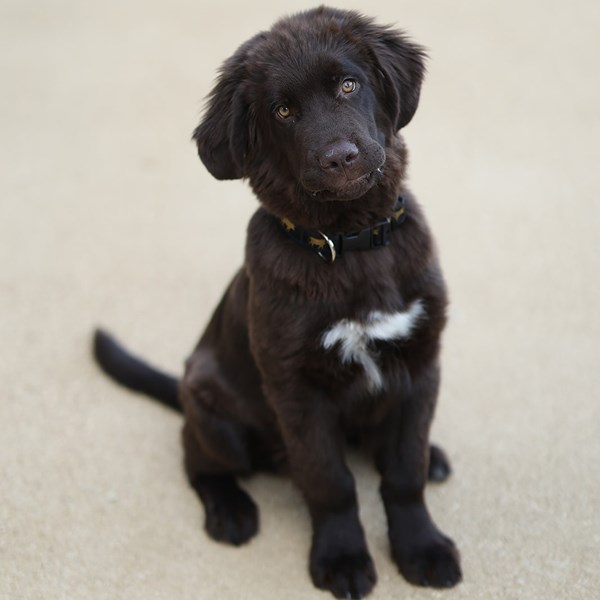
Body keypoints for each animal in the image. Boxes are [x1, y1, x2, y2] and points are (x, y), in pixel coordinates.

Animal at [94, 7, 462, 598]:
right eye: (283, 111)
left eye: (348, 85)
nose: (340, 158)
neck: (348, 243)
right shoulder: (296, 390)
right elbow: (330, 481)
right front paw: (341, 558)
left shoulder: (421, 360)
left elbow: (404, 473)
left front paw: (421, 547)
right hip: (214, 407)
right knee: (196, 456)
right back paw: (230, 509)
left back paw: (434, 456)